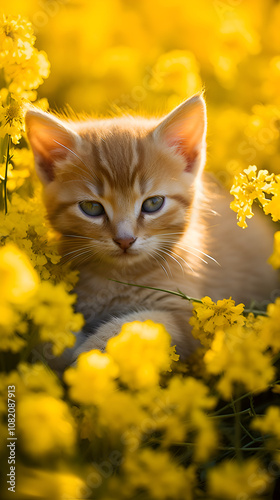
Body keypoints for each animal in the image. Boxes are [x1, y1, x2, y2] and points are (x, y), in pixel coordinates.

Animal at [25, 94, 278, 368]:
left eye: (153, 203)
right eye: (91, 208)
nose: (125, 239)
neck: (116, 279)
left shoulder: (184, 315)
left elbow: (133, 327)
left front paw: (89, 361)